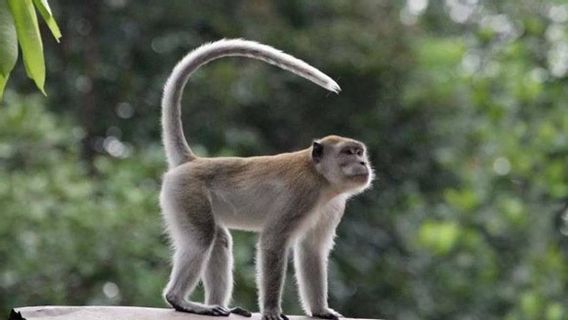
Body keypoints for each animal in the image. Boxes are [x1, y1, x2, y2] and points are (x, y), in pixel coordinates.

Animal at [159, 39, 372, 320]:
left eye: (359, 152)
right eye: (348, 153)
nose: (363, 163)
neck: (320, 179)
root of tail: (192, 162)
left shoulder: (334, 206)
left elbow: (312, 250)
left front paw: (320, 310)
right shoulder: (300, 194)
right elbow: (273, 242)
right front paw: (271, 310)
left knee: (218, 240)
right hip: (186, 193)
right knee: (202, 237)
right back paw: (180, 299)